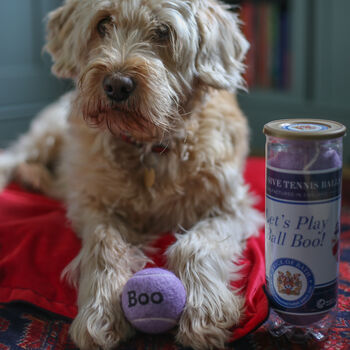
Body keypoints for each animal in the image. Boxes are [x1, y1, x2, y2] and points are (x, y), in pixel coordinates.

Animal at [0, 0, 262, 348]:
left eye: (164, 32)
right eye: (103, 24)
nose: (116, 85)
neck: (150, 147)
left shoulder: (232, 208)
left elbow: (194, 245)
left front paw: (205, 309)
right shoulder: (94, 204)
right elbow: (104, 244)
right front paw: (99, 312)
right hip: (46, 134)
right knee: (13, 156)